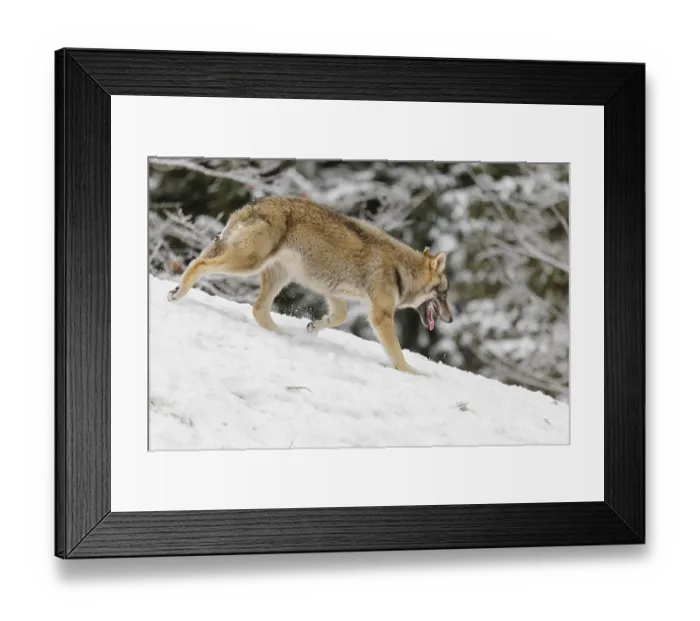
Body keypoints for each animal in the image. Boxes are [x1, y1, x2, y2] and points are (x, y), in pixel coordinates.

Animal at [167, 197, 453, 374]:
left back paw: (284, 334)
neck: (401, 270)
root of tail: (251, 205)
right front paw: (412, 372)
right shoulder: (380, 316)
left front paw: (313, 327)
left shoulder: (335, 294)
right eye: (445, 293)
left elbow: (338, 318)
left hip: (276, 276)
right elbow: (397, 353)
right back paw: (178, 293)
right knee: (198, 264)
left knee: (259, 310)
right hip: (248, 264)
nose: (451, 319)